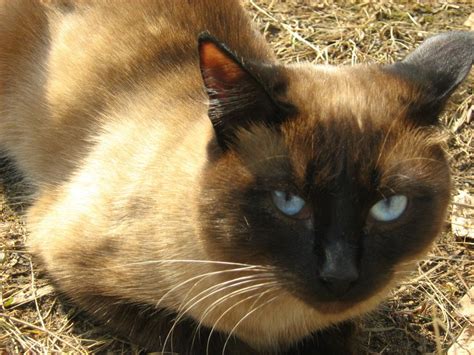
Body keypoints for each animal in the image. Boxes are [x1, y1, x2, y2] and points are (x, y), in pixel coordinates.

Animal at [0, 1, 472, 354]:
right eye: (288, 201)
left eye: (389, 207)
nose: (339, 275)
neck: (279, 323)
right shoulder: (79, 268)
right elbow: (215, 341)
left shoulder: (336, 325)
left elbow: (335, 338)